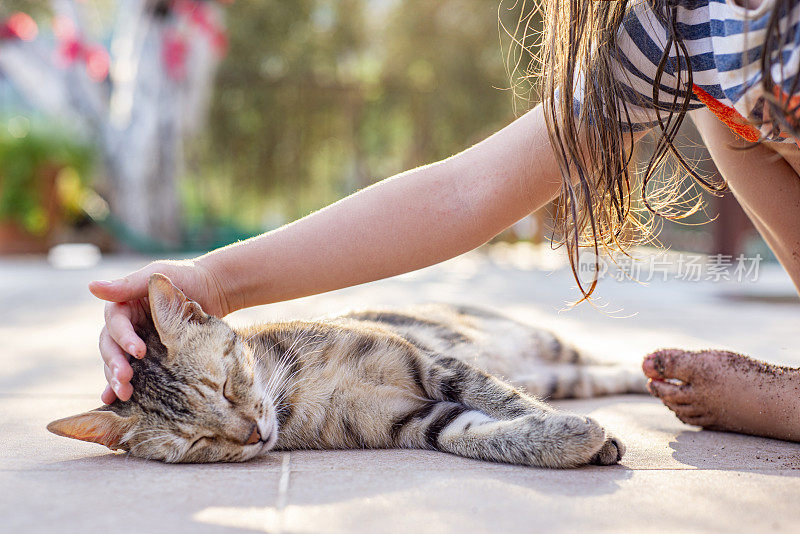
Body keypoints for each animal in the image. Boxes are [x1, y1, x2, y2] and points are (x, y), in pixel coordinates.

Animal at [47, 276, 648, 468]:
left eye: (226, 385)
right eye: (196, 443)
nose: (254, 434)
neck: (297, 393)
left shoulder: (433, 365)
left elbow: (505, 402)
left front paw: (592, 436)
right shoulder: (417, 421)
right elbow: (481, 434)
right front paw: (571, 441)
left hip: (549, 344)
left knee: (594, 360)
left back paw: (656, 370)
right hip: (561, 375)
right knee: (595, 377)